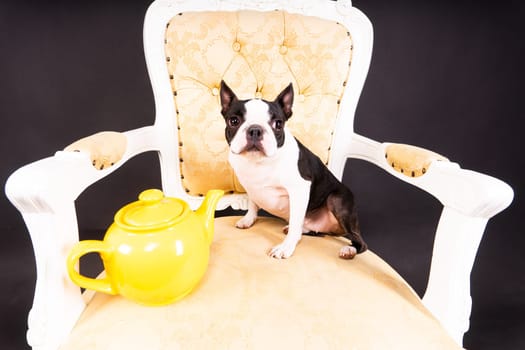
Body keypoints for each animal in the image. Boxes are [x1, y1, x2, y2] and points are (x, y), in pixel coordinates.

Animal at [219, 80, 366, 258]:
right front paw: (248, 219)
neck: (260, 162)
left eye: (278, 124)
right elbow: (253, 203)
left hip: (337, 200)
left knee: (359, 241)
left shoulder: (300, 188)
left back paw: (349, 249)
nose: (255, 130)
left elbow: (295, 221)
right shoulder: (250, 186)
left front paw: (285, 247)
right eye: (233, 121)